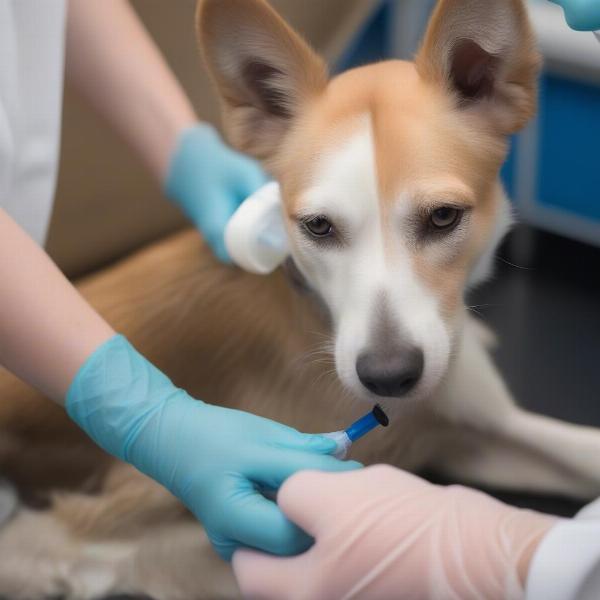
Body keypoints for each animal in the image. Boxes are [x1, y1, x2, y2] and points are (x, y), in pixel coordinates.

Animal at [1, 0, 600, 596]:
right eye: (317, 226)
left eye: (443, 217)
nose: (388, 376)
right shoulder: (101, 541)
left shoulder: (474, 428)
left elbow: (578, 456)